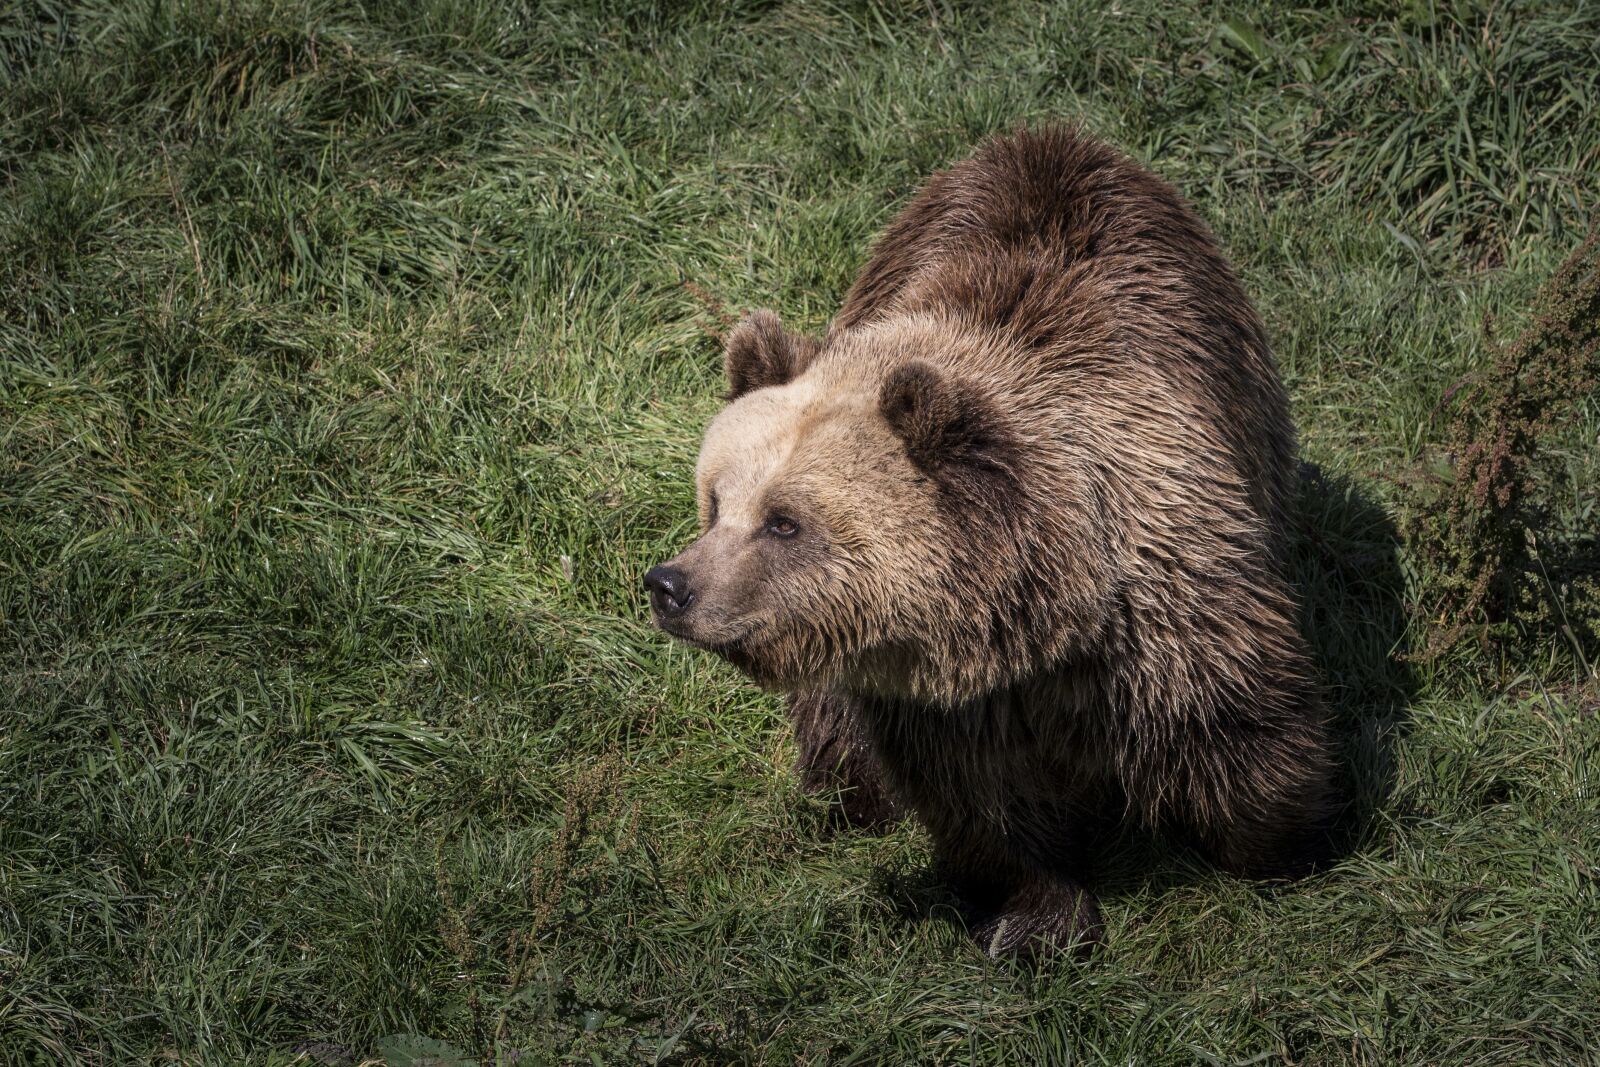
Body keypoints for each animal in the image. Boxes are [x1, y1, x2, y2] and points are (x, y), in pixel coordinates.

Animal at [645, 126, 1338, 958]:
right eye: (717, 502)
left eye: (784, 520)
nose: (670, 584)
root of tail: (1055, 136)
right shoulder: (939, 697)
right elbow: (987, 805)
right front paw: (1035, 919)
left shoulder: (1162, 603)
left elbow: (1233, 723)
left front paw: (1286, 842)